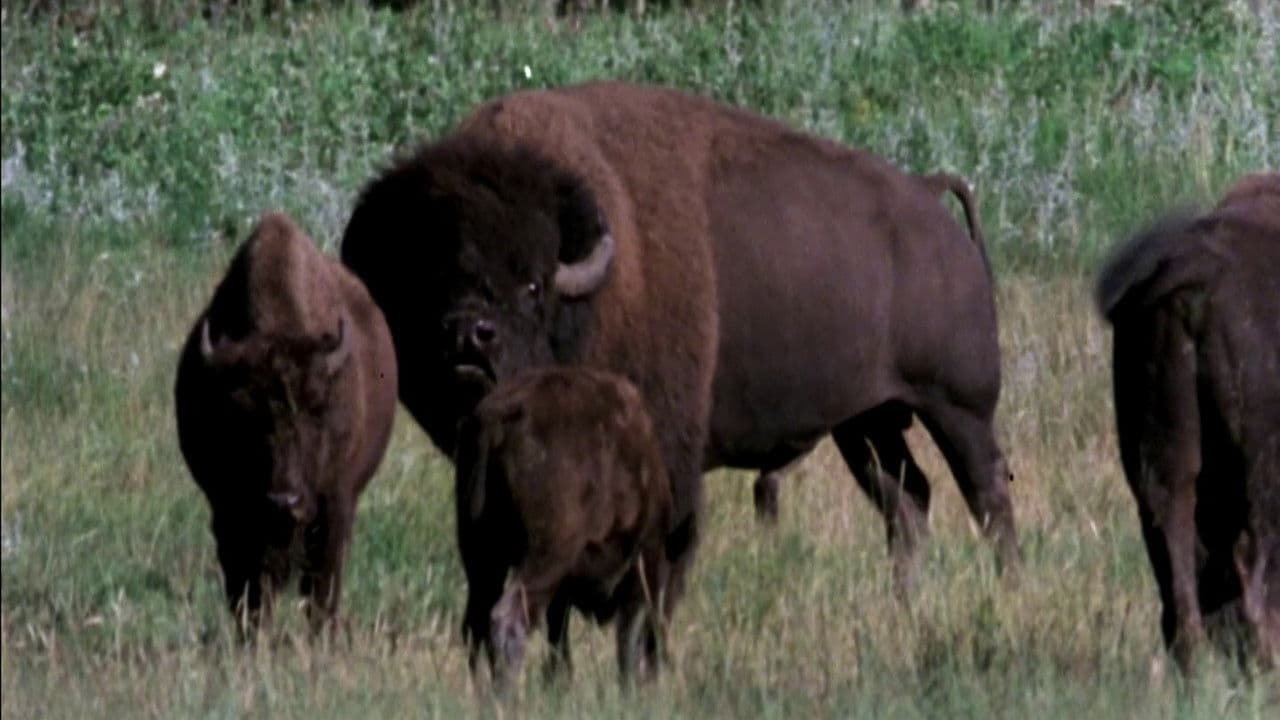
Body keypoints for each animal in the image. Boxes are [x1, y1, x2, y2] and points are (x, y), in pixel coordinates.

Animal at [175, 212, 398, 637]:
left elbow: (322, 590)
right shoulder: (228, 511)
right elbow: (247, 591)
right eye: (241, 414)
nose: (284, 501)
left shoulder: (335, 505)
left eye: (316, 410)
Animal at [340, 80, 1017, 606]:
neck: (598, 286)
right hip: (866, 424)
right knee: (908, 500)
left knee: (987, 492)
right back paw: (905, 600)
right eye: (428, 284)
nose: (471, 336)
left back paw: (1003, 585)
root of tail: (928, 199)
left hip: (956, 408)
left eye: (532, 283)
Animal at [455, 366, 672, 691]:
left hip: (482, 560)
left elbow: (558, 636)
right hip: (545, 557)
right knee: (508, 617)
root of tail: (495, 415)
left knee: (476, 621)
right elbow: (627, 639)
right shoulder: (643, 564)